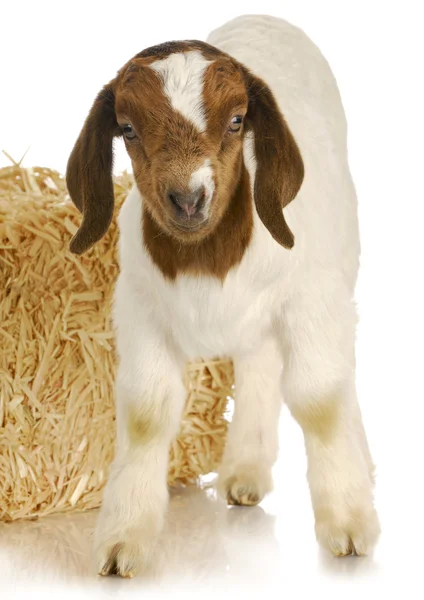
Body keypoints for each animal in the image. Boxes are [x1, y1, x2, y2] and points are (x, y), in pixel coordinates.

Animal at [67, 14, 380, 576]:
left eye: (237, 121)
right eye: (127, 128)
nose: (189, 199)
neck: (206, 258)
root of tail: (264, 17)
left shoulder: (311, 300)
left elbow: (321, 399)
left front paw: (348, 524)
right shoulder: (141, 311)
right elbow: (146, 413)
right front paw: (124, 539)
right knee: (259, 365)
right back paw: (246, 472)